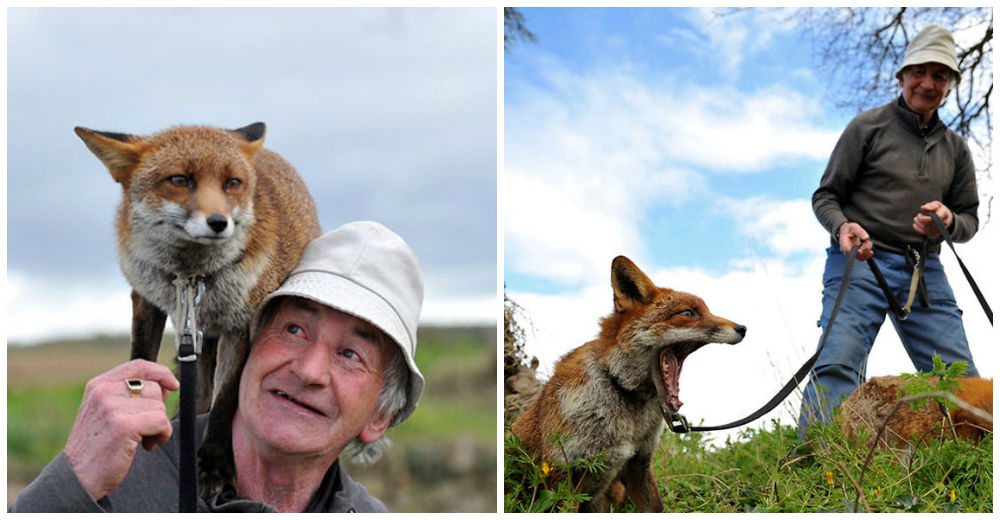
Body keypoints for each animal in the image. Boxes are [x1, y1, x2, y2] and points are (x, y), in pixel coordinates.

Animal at [78, 123, 320, 496]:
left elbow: (226, 398)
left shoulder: (243, 322)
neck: (192, 276)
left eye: (232, 182)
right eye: (180, 180)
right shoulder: (146, 300)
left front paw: (216, 463)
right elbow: (141, 360)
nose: (219, 222)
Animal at [512, 256, 748, 512]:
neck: (619, 388)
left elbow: (655, 507)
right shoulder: (561, 472)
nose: (742, 328)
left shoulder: (639, 462)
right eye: (688, 312)